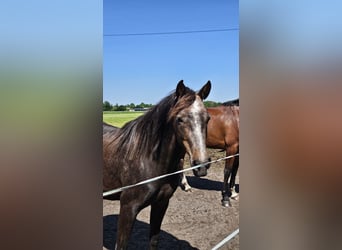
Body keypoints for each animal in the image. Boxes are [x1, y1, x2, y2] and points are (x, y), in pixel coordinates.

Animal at [103, 80, 212, 250]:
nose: (201, 166)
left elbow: (154, 240)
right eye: (180, 119)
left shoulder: (161, 204)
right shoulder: (128, 208)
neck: (148, 160)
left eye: (207, 119)